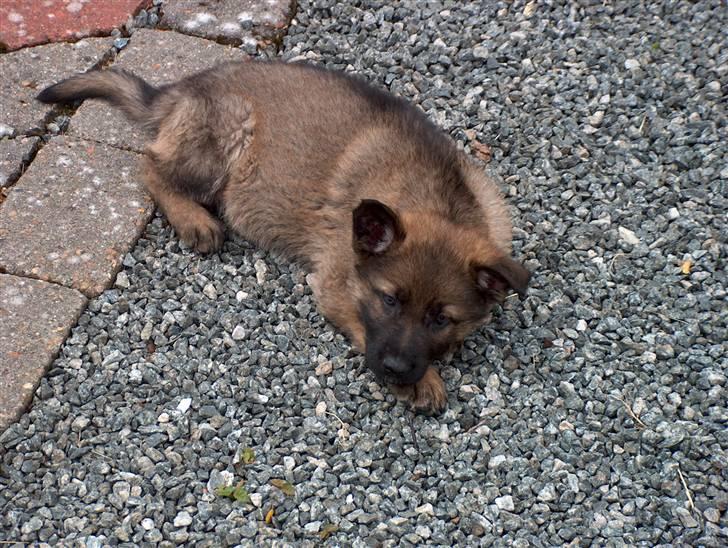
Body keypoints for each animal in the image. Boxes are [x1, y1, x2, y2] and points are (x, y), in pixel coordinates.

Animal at [38, 60, 528, 414]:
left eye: (441, 319)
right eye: (389, 301)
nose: (394, 369)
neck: (440, 200)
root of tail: (182, 89)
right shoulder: (334, 287)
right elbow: (363, 324)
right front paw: (423, 382)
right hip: (226, 136)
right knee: (150, 166)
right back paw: (194, 220)